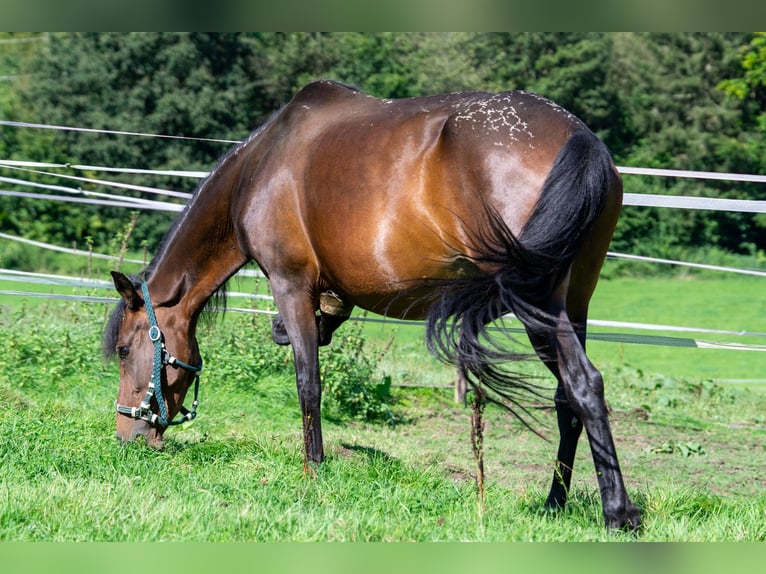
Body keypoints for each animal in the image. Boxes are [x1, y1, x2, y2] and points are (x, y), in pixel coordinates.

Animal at [102, 79, 640, 532]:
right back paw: (555, 503)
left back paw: (619, 514)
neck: (259, 168)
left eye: (126, 351)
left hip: (536, 305)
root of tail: (579, 136)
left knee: (584, 385)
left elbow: (308, 383)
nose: (125, 438)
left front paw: (313, 470)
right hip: (574, 303)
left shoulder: (290, 284)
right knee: (567, 400)